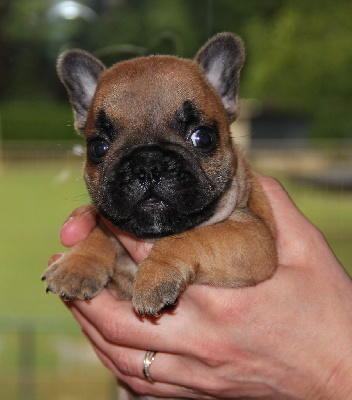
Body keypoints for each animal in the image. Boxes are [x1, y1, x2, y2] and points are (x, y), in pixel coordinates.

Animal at [42, 32, 278, 318]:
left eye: (203, 137)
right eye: (98, 147)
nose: (147, 163)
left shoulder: (253, 236)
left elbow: (193, 237)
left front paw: (155, 274)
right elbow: (100, 231)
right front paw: (77, 262)